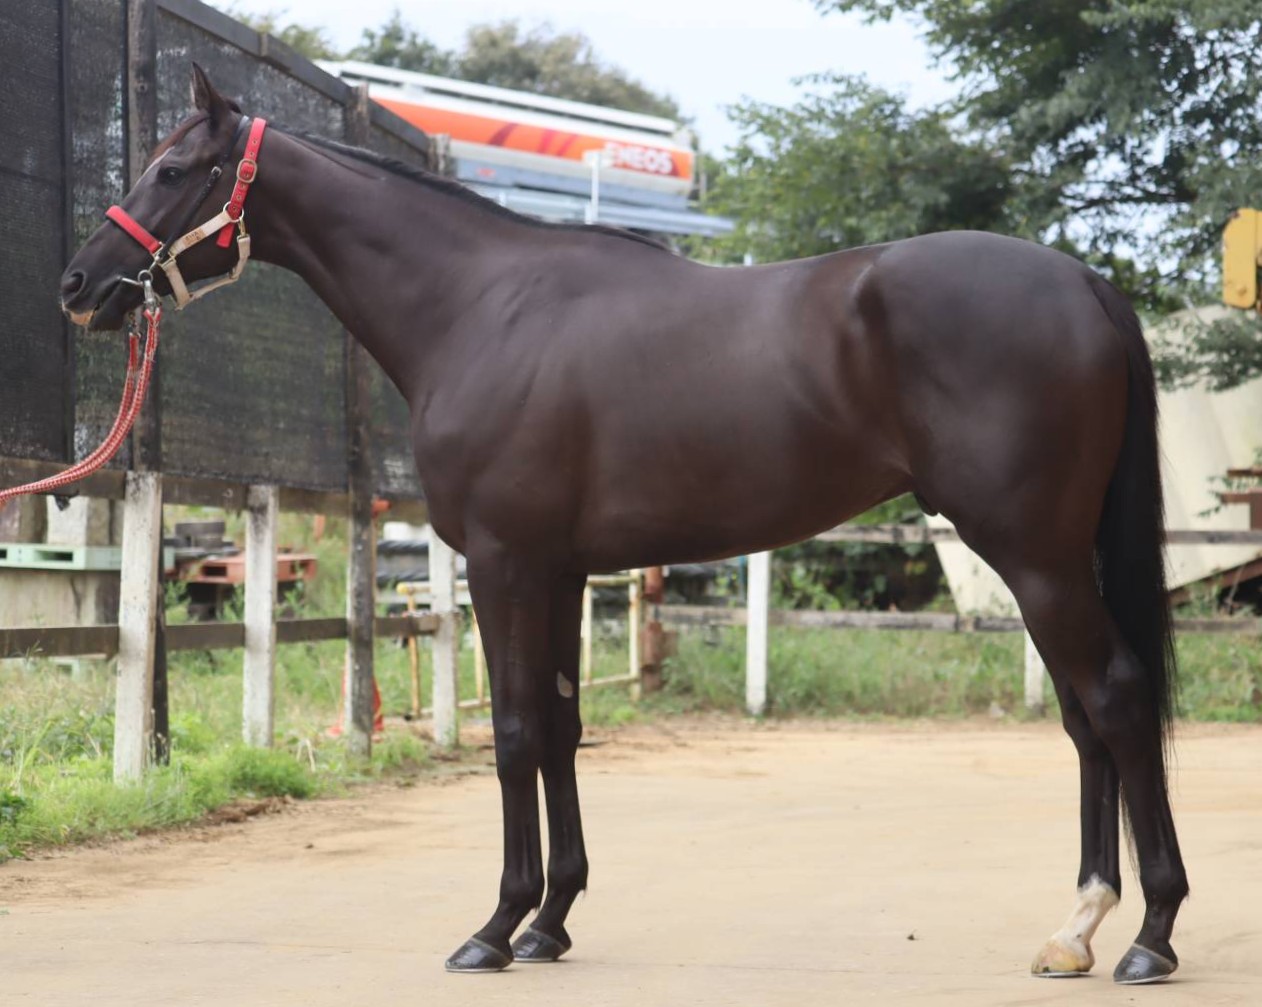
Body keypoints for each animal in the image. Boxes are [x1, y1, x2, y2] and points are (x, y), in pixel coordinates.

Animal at [60, 66, 1187, 984]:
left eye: (174, 168)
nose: (79, 284)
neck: (481, 307)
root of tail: (1085, 281)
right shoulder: (560, 572)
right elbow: (562, 726)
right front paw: (550, 920)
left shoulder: (506, 564)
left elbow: (516, 731)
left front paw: (494, 925)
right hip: (1047, 559)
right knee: (1085, 719)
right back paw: (1077, 927)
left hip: (1034, 554)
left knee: (1116, 701)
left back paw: (1147, 934)